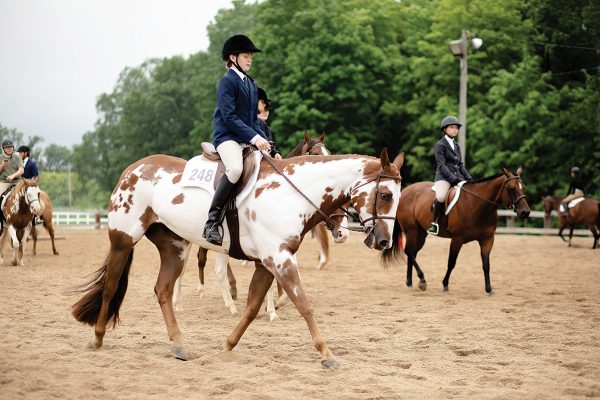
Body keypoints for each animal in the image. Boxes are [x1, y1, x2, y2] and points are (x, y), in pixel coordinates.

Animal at [72, 148, 406, 368]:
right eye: (385, 195)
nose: (384, 241)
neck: (289, 193)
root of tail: (133, 168)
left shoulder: (268, 262)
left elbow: (253, 306)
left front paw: (228, 344)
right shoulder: (280, 260)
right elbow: (304, 305)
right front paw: (327, 354)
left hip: (174, 247)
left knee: (163, 290)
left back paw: (178, 344)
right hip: (122, 240)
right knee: (111, 286)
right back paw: (97, 338)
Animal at [384, 166, 528, 294]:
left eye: (523, 187)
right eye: (511, 188)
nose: (525, 212)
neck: (477, 205)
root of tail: (405, 191)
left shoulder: (487, 239)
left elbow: (486, 264)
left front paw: (489, 289)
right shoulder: (457, 239)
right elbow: (451, 262)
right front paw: (445, 284)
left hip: (421, 233)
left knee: (412, 253)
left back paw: (410, 282)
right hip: (411, 230)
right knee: (409, 251)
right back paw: (422, 280)